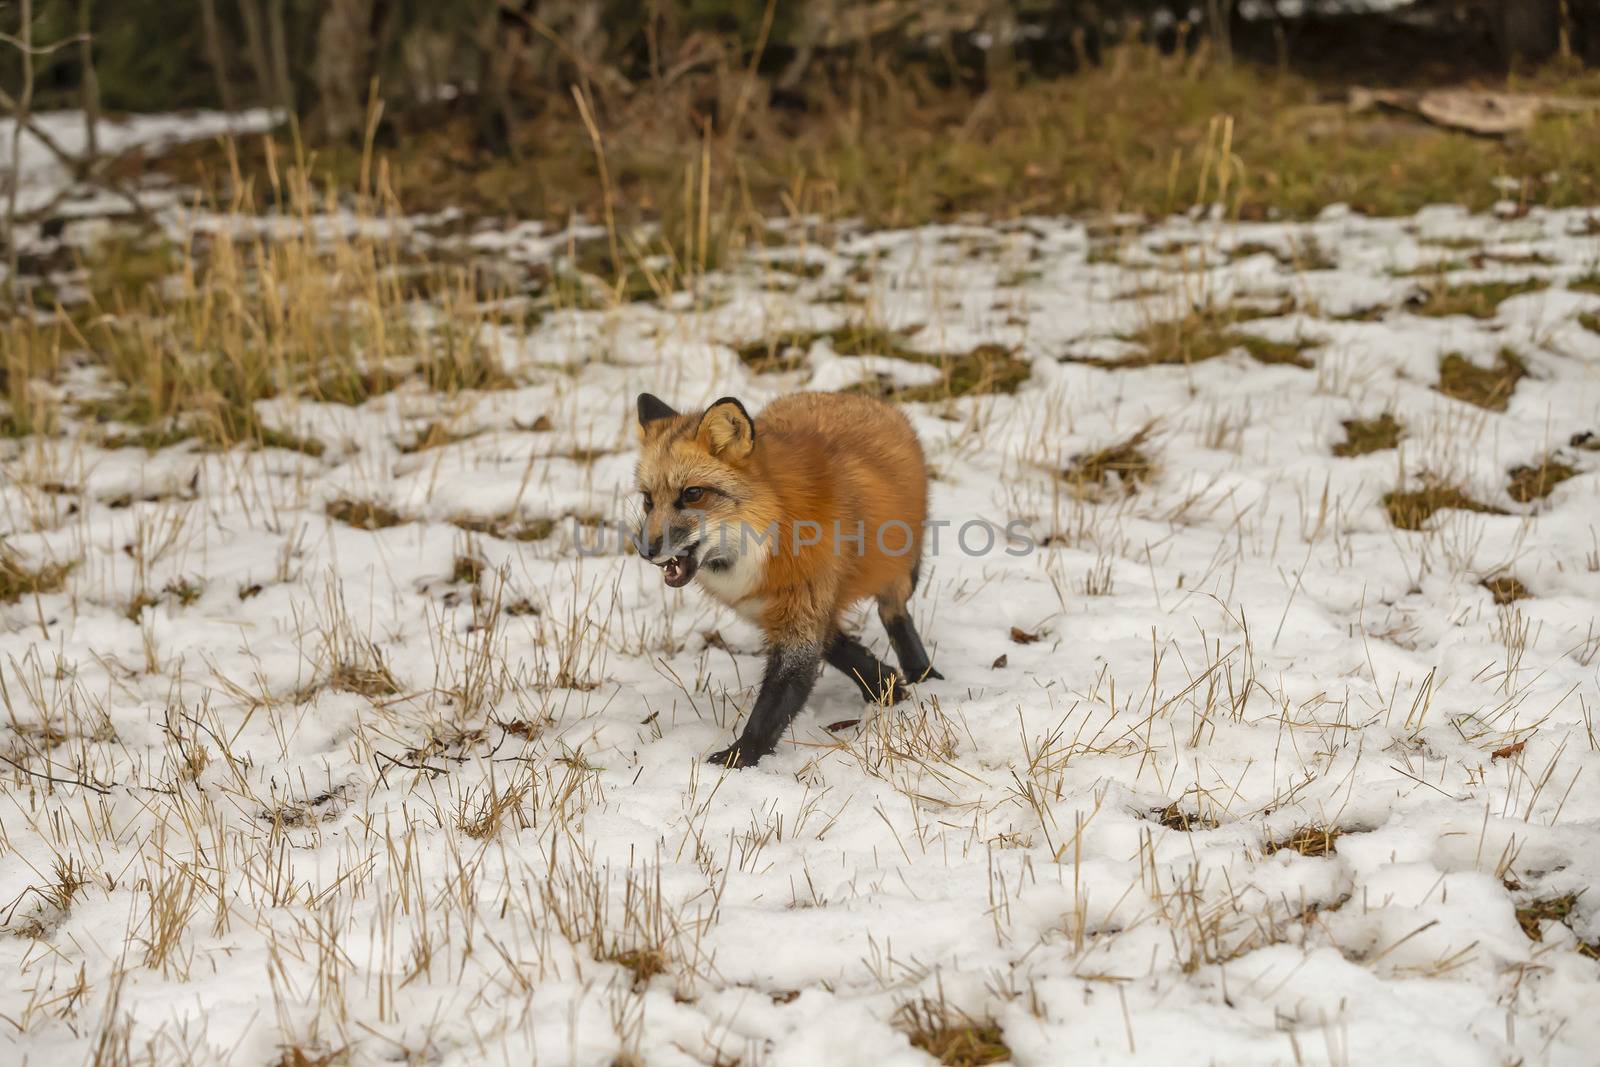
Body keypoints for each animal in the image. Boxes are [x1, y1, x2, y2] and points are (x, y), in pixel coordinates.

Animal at [630, 391, 940, 767]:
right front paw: (884, 682)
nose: (646, 550)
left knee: (893, 613)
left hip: (902, 573)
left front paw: (738, 759)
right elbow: (833, 650)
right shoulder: (777, 608)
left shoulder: (802, 609)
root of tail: (856, 396)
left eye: (692, 494)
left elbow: (775, 702)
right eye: (648, 500)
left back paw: (922, 672)